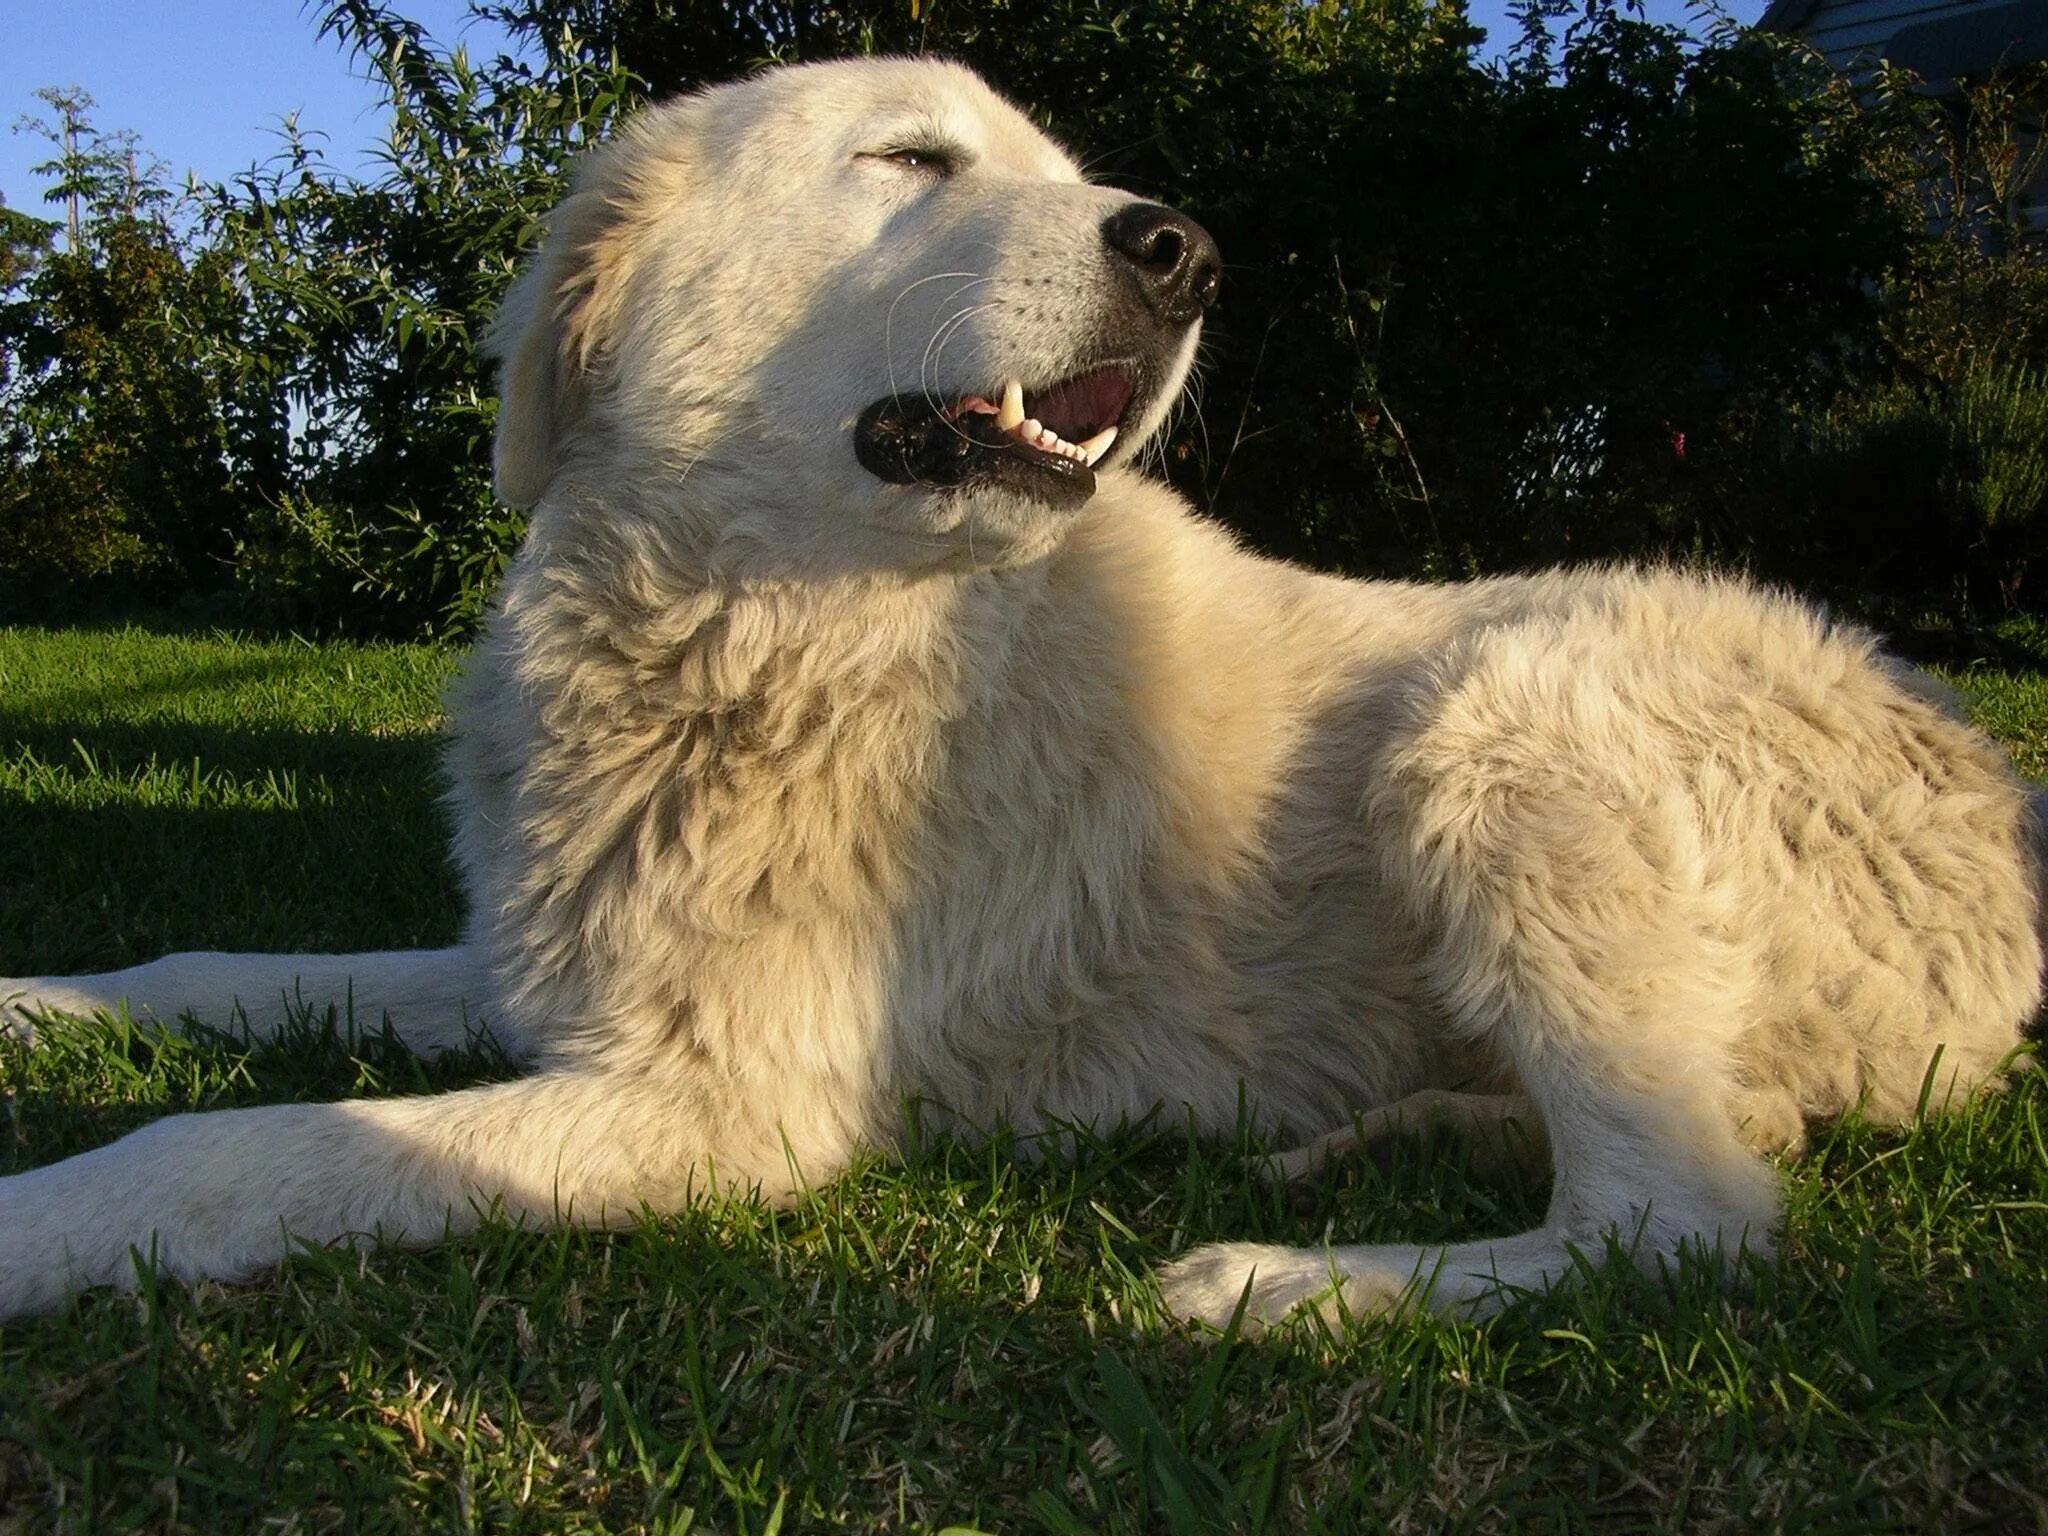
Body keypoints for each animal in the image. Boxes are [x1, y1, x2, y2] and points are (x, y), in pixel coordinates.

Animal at [8, 63, 2039, 1335]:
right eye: (912, 161)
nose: (1187, 251)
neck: (758, 633)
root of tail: (1995, 803)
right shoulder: (547, 978)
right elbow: (216, 977)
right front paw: (39, 1006)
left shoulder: (718, 1104)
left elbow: (243, 1141)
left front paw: (43, 1224)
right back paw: (1364, 1139)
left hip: (1500, 710)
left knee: (1682, 1227)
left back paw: (1294, 1285)